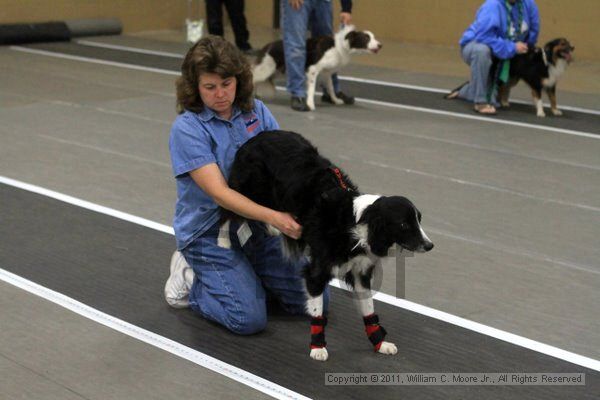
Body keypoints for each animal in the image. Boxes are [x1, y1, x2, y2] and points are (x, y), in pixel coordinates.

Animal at [220, 130, 432, 360]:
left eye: (419, 220)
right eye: (403, 224)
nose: (430, 245)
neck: (355, 222)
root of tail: (258, 135)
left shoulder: (361, 272)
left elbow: (369, 309)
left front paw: (380, 342)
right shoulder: (316, 272)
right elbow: (318, 312)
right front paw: (318, 347)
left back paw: (273, 227)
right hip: (247, 186)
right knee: (228, 207)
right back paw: (222, 241)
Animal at [251, 25, 382, 110]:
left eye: (373, 37)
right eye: (366, 38)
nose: (380, 45)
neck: (339, 47)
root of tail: (267, 46)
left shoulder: (327, 73)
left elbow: (331, 88)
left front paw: (335, 100)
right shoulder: (313, 70)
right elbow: (312, 89)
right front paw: (310, 104)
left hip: (277, 72)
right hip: (266, 69)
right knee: (253, 76)